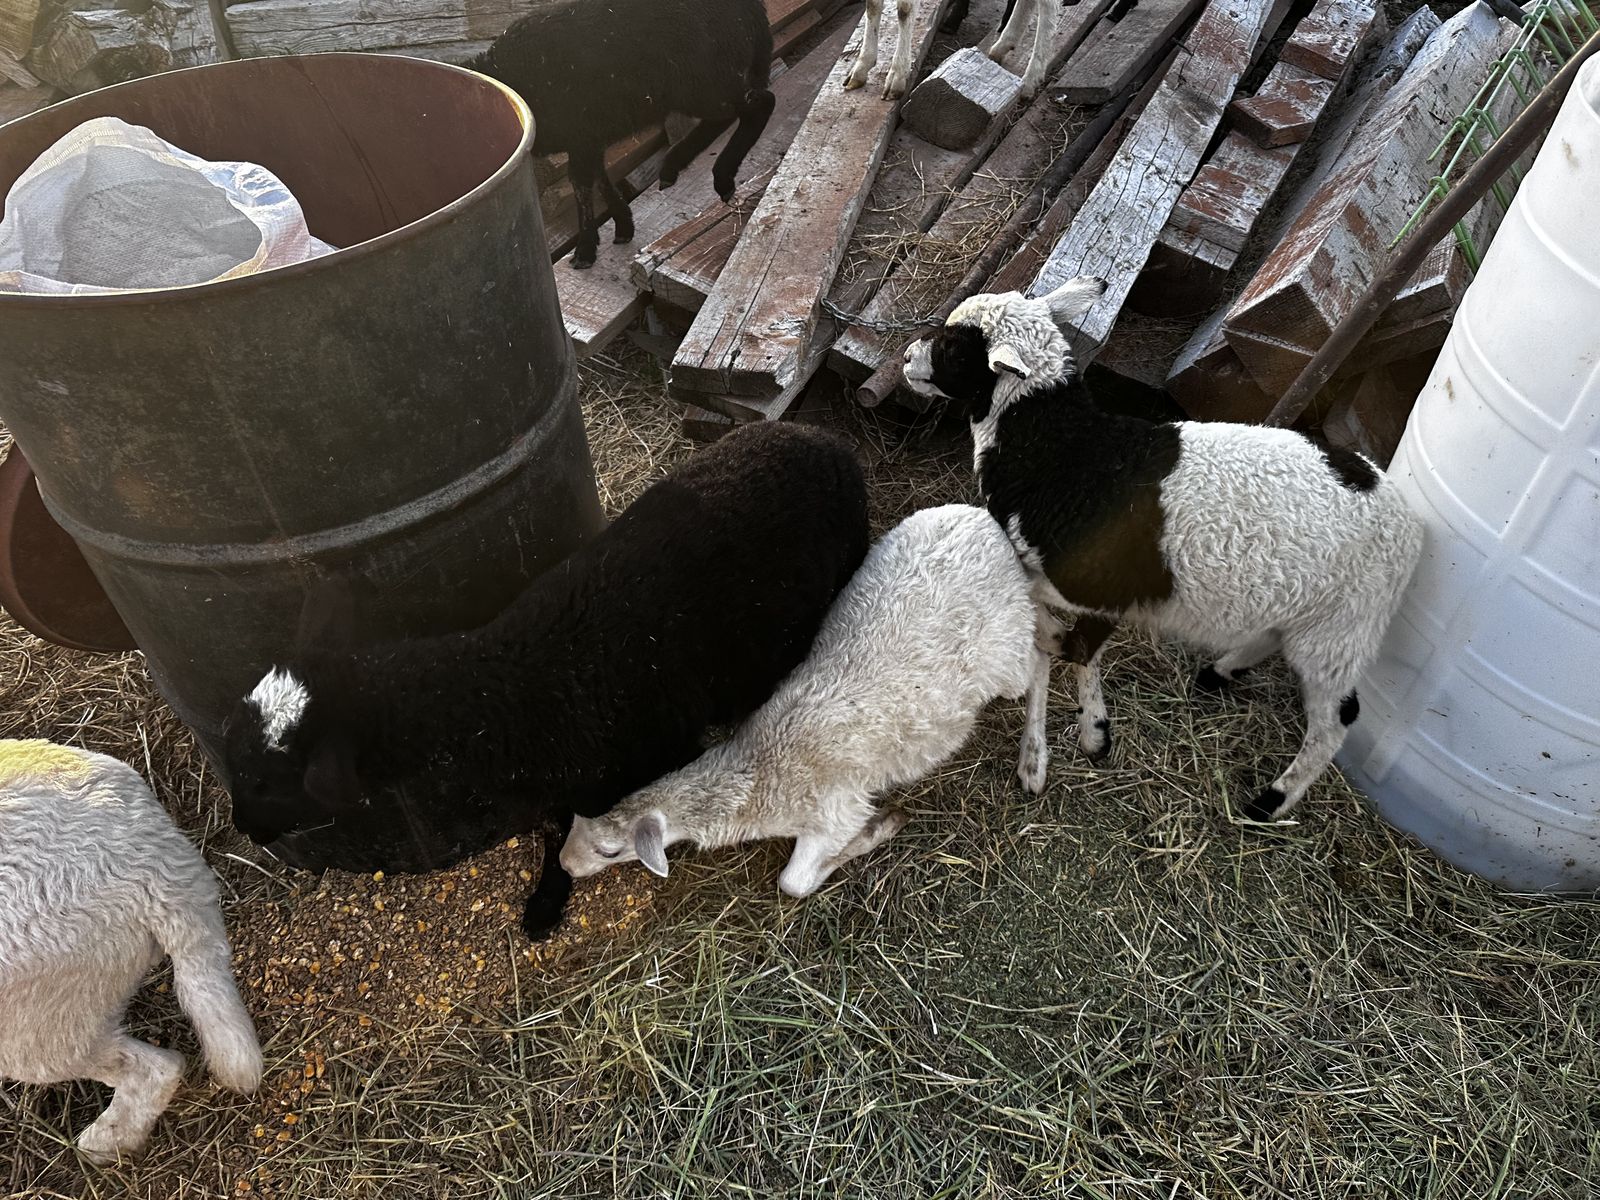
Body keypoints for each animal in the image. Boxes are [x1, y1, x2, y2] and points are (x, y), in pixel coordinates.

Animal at [222, 422, 870, 940]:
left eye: (267, 780)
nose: (245, 831)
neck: (515, 688)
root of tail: (827, 440)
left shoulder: (647, 755)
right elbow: (560, 828)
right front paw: (546, 897)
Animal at [464, 0, 775, 269]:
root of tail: (754, 10)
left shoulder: (581, 131)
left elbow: (581, 182)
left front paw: (585, 250)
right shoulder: (588, 137)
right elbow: (598, 176)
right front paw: (623, 224)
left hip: (704, 82)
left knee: (761, 105)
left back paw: (721, 178)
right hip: (700, 87)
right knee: (728, 115)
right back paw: (674, 167)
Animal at [559, 504, 1051, 897]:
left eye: (610, 850)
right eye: (575, 820)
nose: (565, 864)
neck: (760, 772)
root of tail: (986, 523)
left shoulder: (836, 810)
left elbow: (793, 882)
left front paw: (878, 829)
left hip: (1005, 646)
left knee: (1039, 659)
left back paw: (1033, 761)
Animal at [847, 0, 1048, 101]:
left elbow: (904, 9)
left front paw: (897, 75)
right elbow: (872, 6)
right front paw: (861, 67)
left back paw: (1031, 78)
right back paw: (1003, 45)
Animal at [899, 278, 1425, 822]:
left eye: (954, 349)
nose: (906, 357)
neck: (1062, 456)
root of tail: (1405, 517)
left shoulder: (1098, 585)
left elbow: (1069, 643)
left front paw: (1080, 730)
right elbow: (1070, 645)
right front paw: (1085, 734)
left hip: (1345, 625)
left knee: (1338, 716)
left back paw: (1272, 799)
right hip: (1311, 612)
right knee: (1275, 638)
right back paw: (1220, 672)